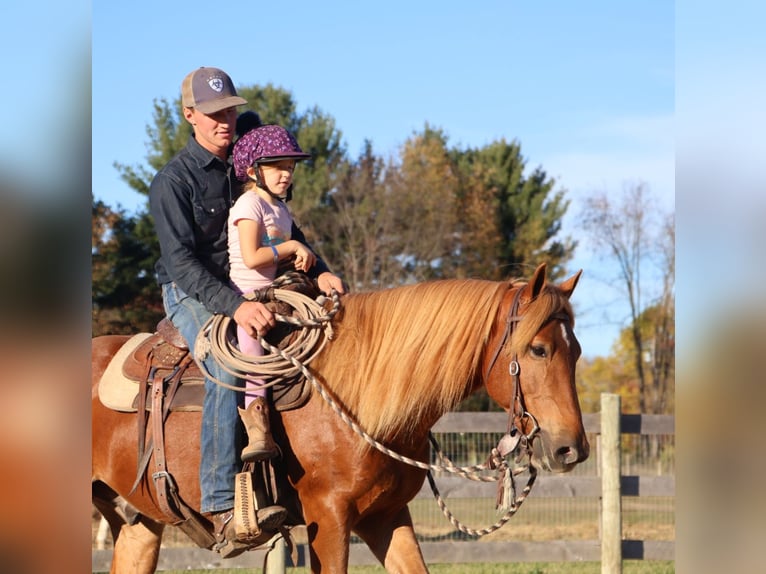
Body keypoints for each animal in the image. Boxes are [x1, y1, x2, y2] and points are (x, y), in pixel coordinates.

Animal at [92, 263, 589, 573]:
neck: (359, 396)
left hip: (137, 524)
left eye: (578, 351)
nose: (572, 449)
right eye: (538, 349)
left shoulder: (385, 516)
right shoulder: (327, 519)